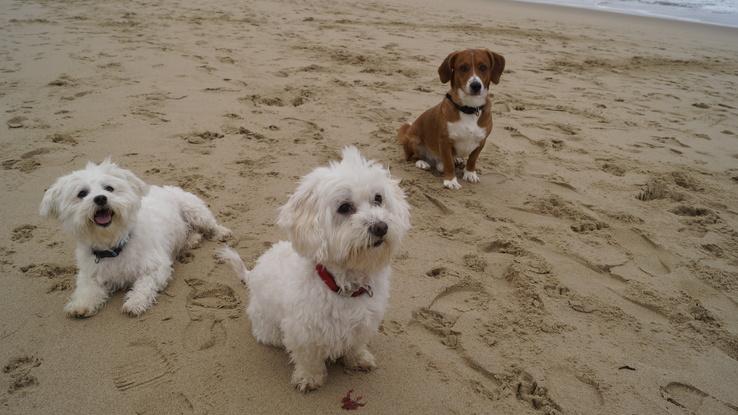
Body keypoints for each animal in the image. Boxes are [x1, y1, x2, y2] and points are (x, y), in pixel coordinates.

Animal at [39, 159, 230, 318]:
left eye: (109, 188)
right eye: (82, 193)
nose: (100, 198)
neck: (113, 244)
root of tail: (165, 187)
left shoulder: (156, 267)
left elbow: (144, 284)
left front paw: (135, 302)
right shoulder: (90, 273)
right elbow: (87, 289)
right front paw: (80, 305)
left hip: (194, 210)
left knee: (210, 225)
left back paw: (221, 232)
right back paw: (193, 239)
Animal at [218, 147, 412, 394]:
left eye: (378, 198)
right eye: (344, 207)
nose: (380, 227)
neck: (343, 285)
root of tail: (252, 275)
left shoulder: (364, 322)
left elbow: (356, 344)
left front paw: (358, 359)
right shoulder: (303, 331)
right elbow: (308, 358)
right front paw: (309, 378)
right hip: (269, 328)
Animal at [396, 48, 506, 190]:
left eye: (483, 67)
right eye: (463, 67)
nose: (476, 85)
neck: (469, 108)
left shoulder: (481, 141)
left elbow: (472, 159)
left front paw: (470, 173)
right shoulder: (445, 141)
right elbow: (448, 163)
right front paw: (450, 181)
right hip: (414, 140)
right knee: (413, 157)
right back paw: (422, 163)